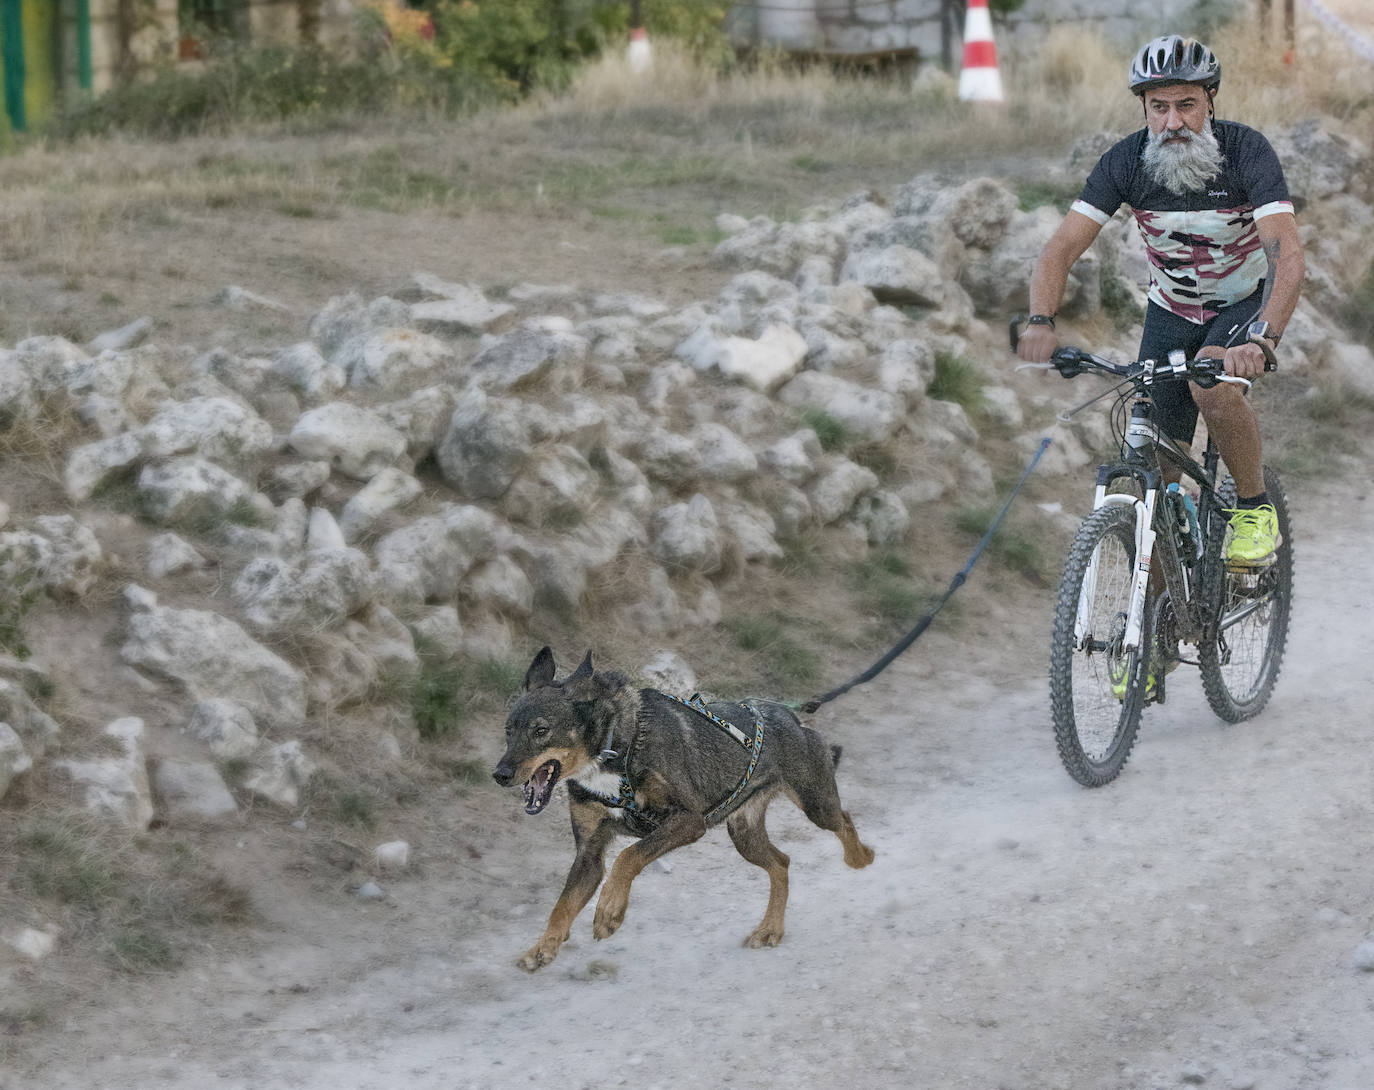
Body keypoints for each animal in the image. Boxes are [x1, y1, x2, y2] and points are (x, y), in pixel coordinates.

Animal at [491, 646, 868, 967]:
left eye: (541, 730)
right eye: (508, 730)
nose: (499, 775)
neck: (615, 748)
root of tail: (791, 715)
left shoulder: (688, 822)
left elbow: (628, 857)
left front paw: (610, 910)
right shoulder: (589, 855)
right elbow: (563, 905)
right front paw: (544, 947)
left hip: (815, 804)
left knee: (843, 820)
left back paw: (860, 857)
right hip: (743, 833)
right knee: (781, 862)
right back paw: (770, 929)